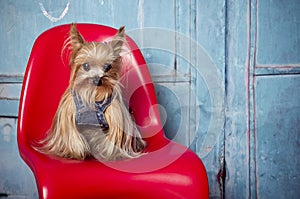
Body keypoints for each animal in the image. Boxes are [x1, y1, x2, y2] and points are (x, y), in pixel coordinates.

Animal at [38, 23, 146, 160]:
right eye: (86, 66)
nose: (97, 80)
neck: (92, 95)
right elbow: (71, 134)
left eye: (107, 67)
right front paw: (74, 152)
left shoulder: (115, 114)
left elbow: (113, 138)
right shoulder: (68, 113)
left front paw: (112, 154)